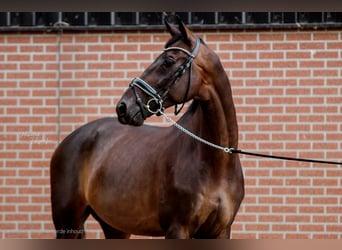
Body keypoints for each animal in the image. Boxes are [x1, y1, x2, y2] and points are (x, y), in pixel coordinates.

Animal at [50, 15, 243, 238]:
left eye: (168, 61)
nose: (123, 107)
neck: (216, 163)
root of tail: (68, 141)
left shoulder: (221, 231)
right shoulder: (177, 228)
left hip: (115, 227)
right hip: (67, 223)